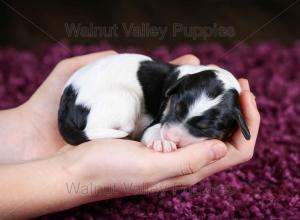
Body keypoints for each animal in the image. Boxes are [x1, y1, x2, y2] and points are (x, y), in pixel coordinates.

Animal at [57, 52, 250, 151]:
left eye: (205, 127)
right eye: (175, 107)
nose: (171, 137)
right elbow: (152, 130)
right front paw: (161, 142)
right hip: (126, 98)